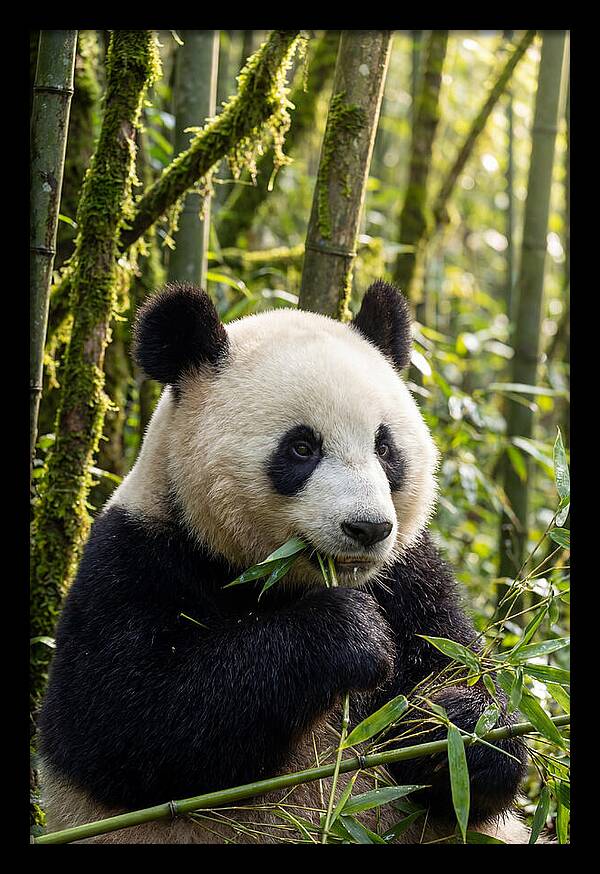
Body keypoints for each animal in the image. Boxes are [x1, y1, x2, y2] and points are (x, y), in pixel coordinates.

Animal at [38, 280, 531, 844]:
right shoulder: (135, 560)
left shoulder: (411, 576)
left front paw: (457, 728)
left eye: (385, 448)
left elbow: (462, 682)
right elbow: (129, 722)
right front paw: (351, 634)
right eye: (301, 447)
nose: (368, 528)